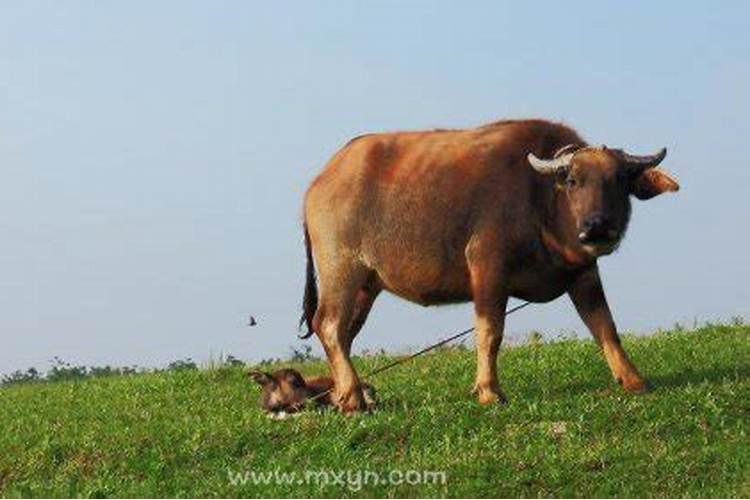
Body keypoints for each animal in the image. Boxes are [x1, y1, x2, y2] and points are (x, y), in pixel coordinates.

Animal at [298, 118, 680, 414]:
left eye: (619, 181)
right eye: (573, 180)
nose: (596, 227)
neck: (538, 199)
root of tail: (319, 182)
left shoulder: (583, 274)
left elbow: (604, 325)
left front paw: (633, 378)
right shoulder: (488, 267)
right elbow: (490, 330)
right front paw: (489, 390)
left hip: (367, 284)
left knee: (345, 333)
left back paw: (347, 394)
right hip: (340, 270)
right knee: (328, 324)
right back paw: (351, 397)